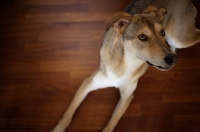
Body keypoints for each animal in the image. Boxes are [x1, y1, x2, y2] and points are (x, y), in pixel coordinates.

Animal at [52, 0, 200, 131]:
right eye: (142, 37)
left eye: (161, 32)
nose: (173, 60)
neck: (127, 63)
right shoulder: (88, 83)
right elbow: (67, 115)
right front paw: (57, 129)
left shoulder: (127, 96)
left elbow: (111, 124)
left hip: (179, 38)